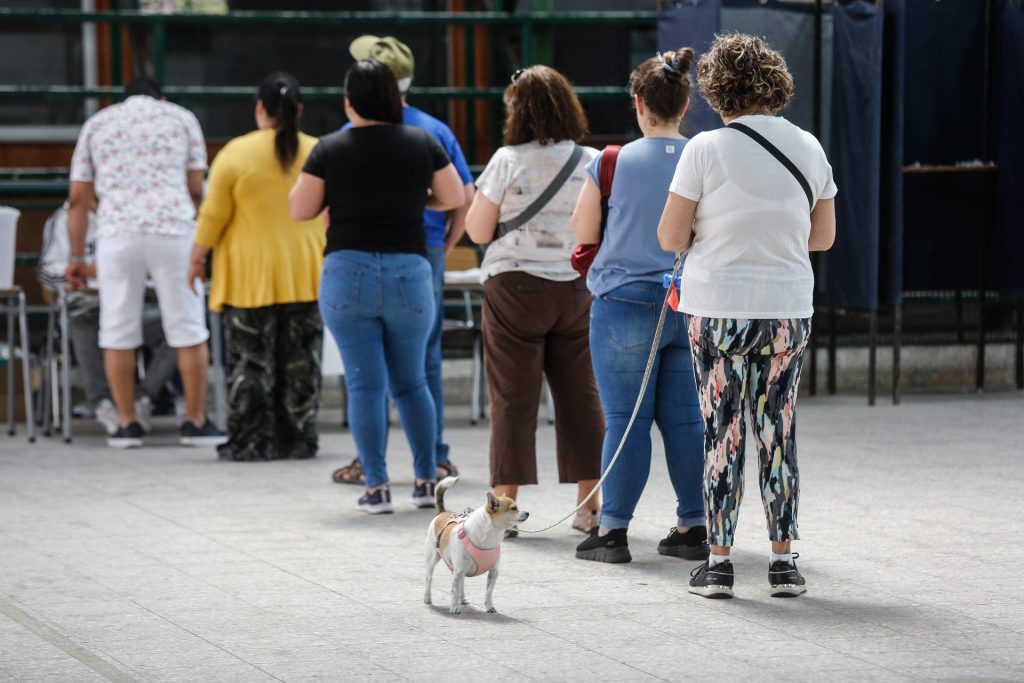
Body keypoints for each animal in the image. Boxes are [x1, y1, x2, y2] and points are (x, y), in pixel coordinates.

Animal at [421, 475, 528, 614]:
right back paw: (428, 598)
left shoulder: (493, 572)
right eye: (513, 509)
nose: (527, 513)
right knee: (429, 578)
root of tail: (442, 513)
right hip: (433, 560)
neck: (490, 536)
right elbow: (454, 590)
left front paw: (489, 606)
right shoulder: (458, 570)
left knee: (461, 583)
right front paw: (454, 607)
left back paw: (462, 599)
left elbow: (488, 592)